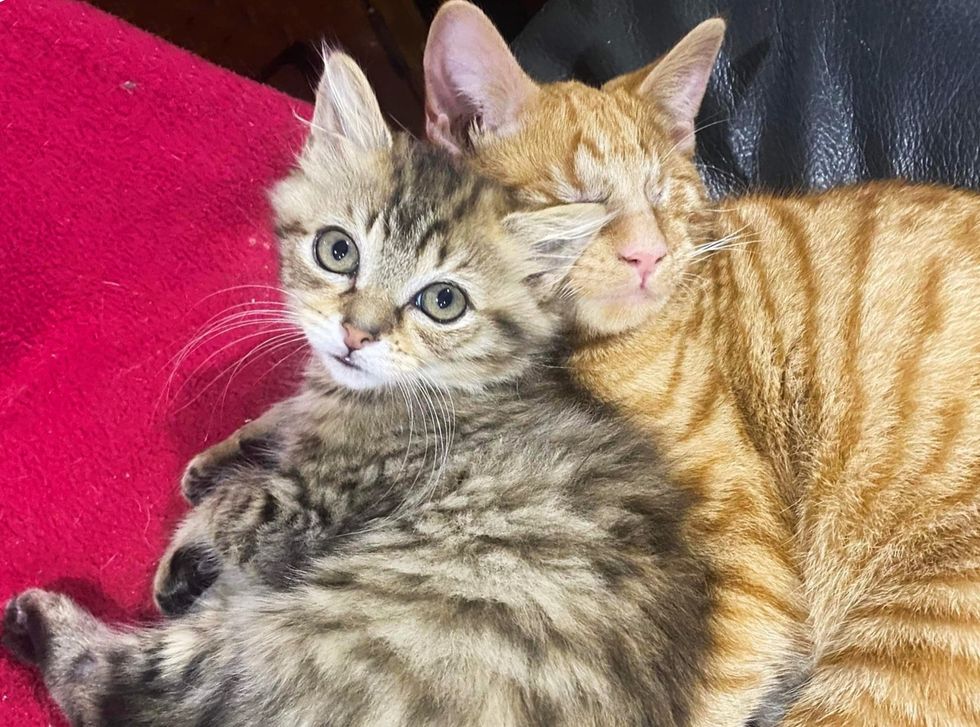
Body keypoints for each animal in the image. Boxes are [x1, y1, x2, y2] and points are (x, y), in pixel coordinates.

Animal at [5, 52, 712, 727]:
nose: (356, 332)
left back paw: (39, 621)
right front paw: (224, 460)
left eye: (443, 302)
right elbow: (277, 425)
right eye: (337, 250)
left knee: (134, 690)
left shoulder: (304, 508)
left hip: (337, 631)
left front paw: (185, 549)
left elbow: (231, 509)